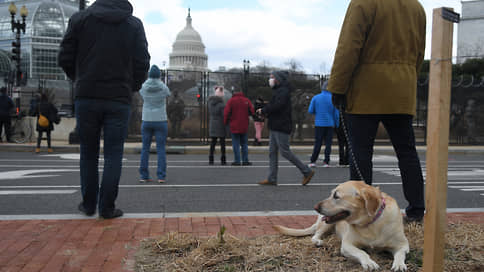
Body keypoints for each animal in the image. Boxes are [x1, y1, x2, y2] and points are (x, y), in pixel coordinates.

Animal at [272, 180, 408, 270]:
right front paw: (369, 262)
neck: (371, 223)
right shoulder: (347, 245)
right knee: (315, 234)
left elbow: (400, 254)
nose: (315, 207)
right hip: (325, 224)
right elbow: (362, 252)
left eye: (336, 196)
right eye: (331, 194)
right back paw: (318, 241)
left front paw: (399, 264)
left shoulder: (403, 245)